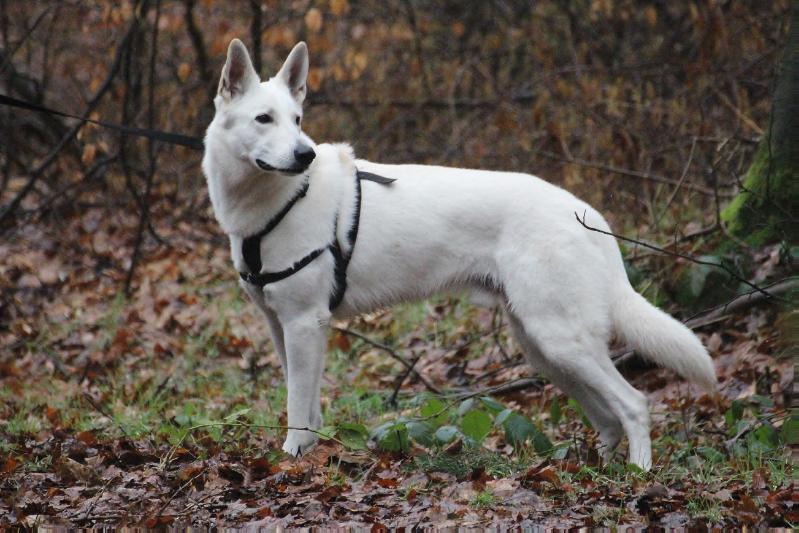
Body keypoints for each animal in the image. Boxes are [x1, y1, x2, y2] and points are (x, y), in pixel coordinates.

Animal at [203, 39, 716, 468]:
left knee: (634, 405)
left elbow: (297, 410)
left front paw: (292, 460)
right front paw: (309, 455)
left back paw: (637, 475)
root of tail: (587, 215)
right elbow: (307, 407)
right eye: (264, 119)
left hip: (560, 340)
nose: (304, 155)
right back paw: (588, 473)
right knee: (607, 417)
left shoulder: (304, 324)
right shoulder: (285, 327)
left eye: (297, 120)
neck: (282, 200)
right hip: (544, 348)